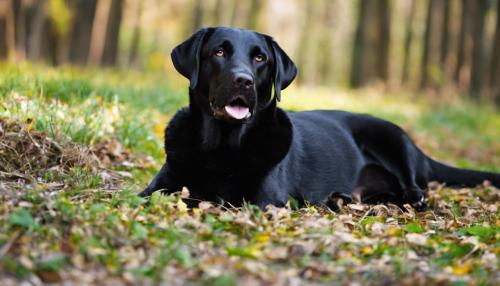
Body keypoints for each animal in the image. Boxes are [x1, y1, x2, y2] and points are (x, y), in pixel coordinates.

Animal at [140, 26, 500, 210]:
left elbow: (213, 201)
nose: (243, 81)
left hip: (391, 136)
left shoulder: (264, 202)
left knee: (414, 190)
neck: (222, 145)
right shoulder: (160, 184)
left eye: (260, 59)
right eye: (218, 52)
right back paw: (341, 199)